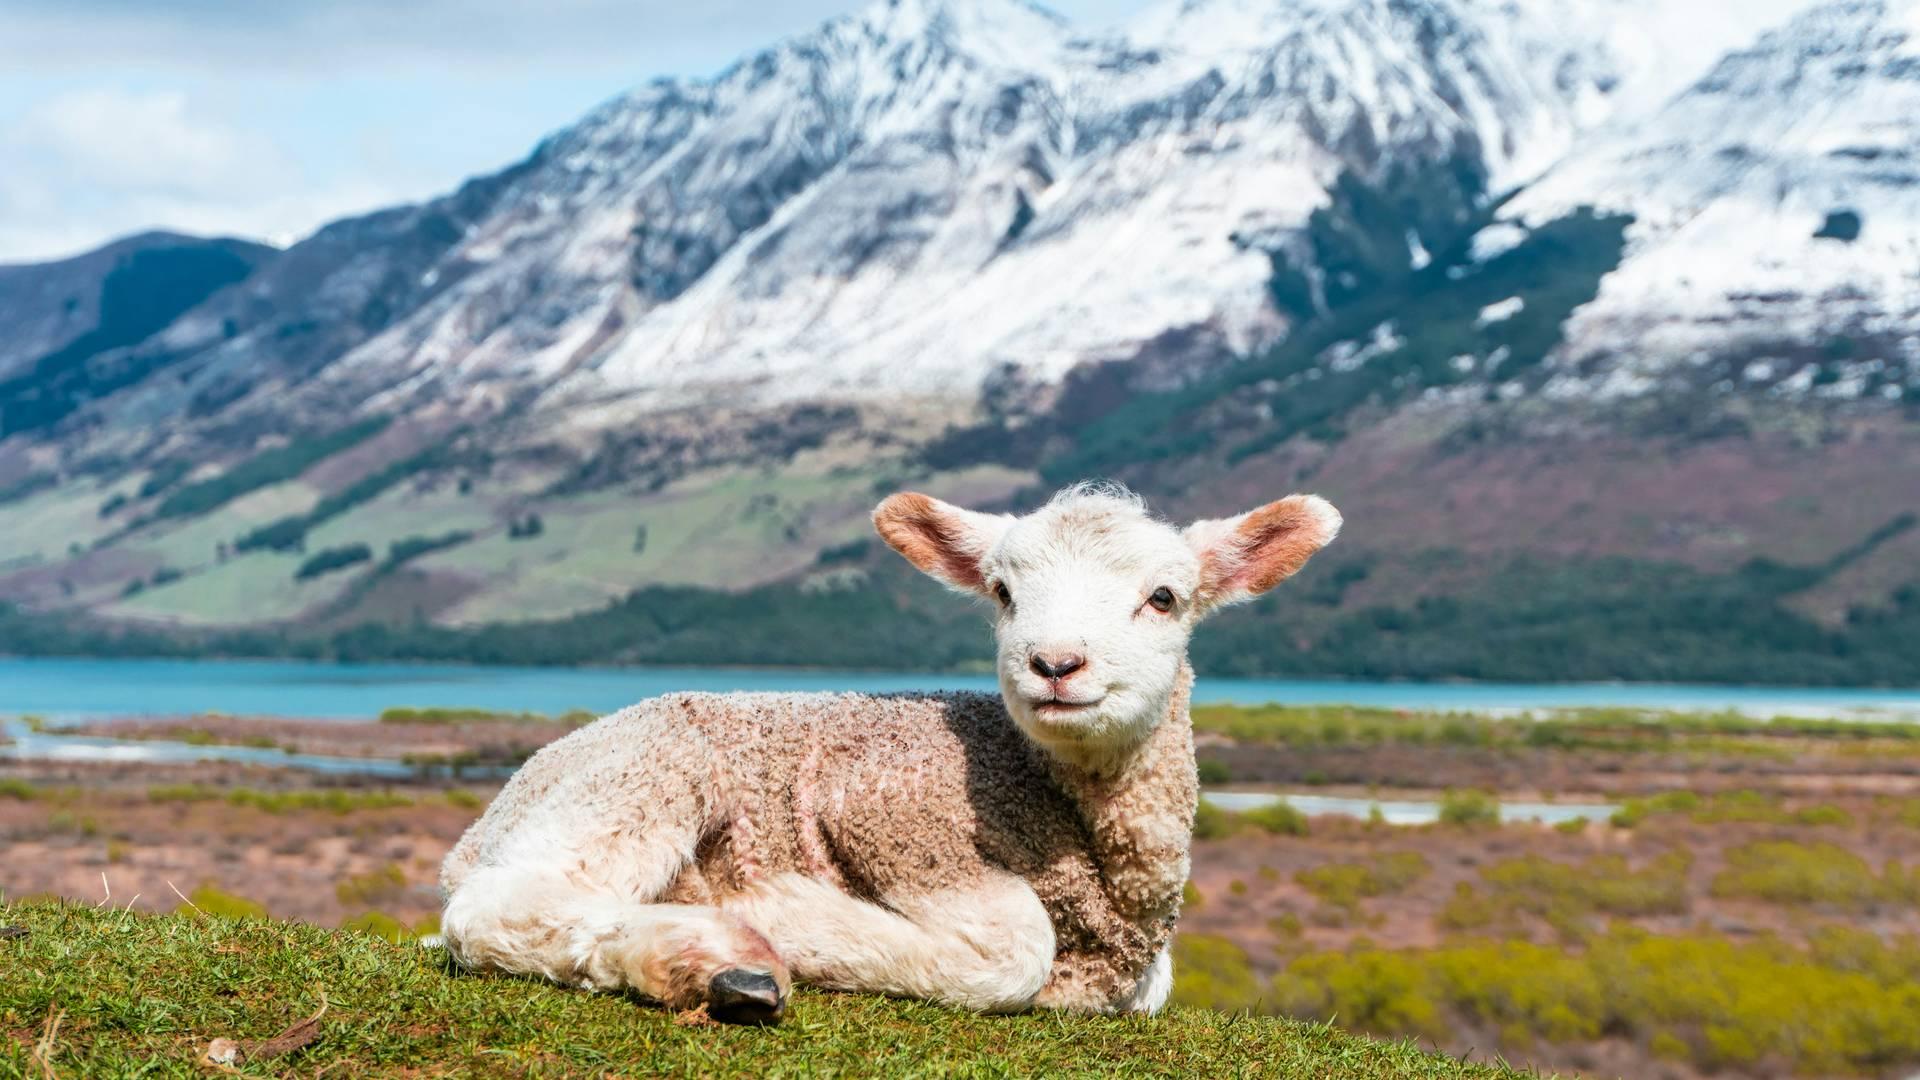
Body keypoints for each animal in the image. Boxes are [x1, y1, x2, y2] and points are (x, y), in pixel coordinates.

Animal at [438, 483, 1341, 1023]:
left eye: (1163, 598)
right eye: (1003, 594)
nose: (1054, 664)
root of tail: (481, 827)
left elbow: (1150, 985)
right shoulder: (889, 810)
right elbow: (1014, 952)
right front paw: (789, 915)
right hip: (643, 777)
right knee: (494, 909)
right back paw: (711, 958)